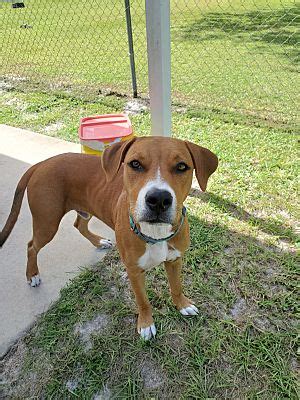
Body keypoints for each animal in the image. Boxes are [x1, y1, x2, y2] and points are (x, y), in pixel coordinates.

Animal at [0, 136, 216, 340]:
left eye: (182, 167)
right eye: (135, 164)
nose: (159, 199)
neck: (156, 234)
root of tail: (42, 163)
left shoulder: (175, 260)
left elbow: (176, 286)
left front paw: (182, 304)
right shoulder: (134, 271)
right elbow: (143, 301)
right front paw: (146, 324)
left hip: (85, 209)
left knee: (79, 225)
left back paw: (99, 242)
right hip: (47, 223)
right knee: (31, 246)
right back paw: (32, 274)